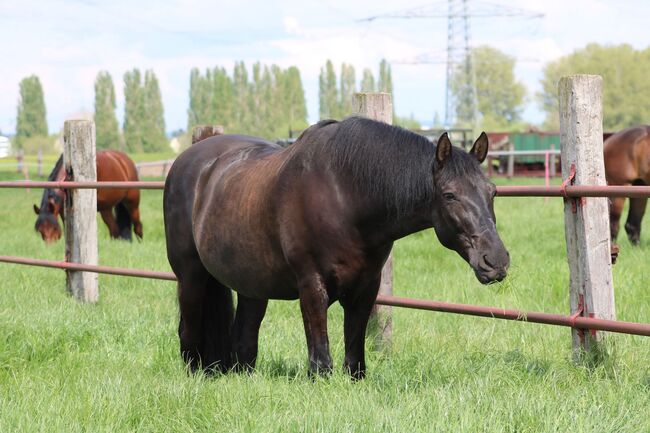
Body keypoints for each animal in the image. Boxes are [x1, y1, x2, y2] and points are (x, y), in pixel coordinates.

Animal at [161, 117, 506, 378]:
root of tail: (189, 161)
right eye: (449, 195)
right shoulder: (312, 285)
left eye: (492, 191)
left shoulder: (366, 288)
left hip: (252, 286)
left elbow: (354, 355)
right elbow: (320, 357)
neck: (343, 194)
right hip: (191, 277)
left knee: (244, 340)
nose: (496, 261)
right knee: (188, 331)